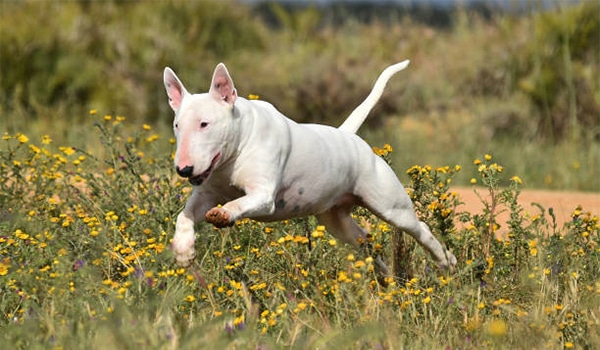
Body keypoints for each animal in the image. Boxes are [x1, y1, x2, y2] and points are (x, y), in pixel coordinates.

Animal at [162, 60, 458, 274]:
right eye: (177, 125)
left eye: (205, 124)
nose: (183, 170)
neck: (233, 151)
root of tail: (349, 136)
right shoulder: (207, 192)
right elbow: (185, 215)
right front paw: (183, 251)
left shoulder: (264, 196)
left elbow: (238, 203)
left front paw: (223, 214)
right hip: (335, 219)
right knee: (364, 240)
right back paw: (384, 277)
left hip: (391, 206)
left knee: (420, 229)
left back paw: (446, 261)